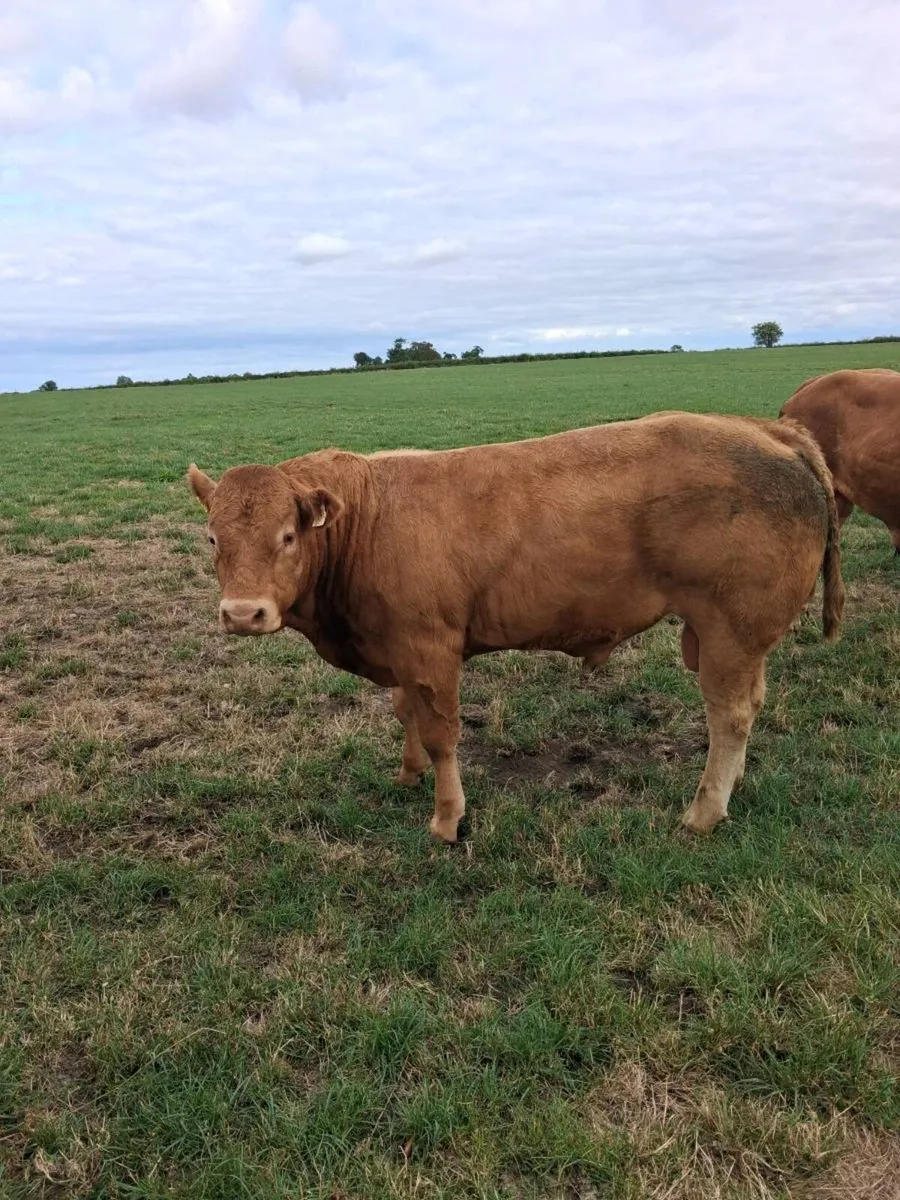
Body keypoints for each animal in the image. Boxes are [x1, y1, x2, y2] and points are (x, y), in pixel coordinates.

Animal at [187, 411, 843, 842]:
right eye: (213, 538)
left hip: (732, 630)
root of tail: (767, 430)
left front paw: (447, 818)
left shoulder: (430, 648)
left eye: (288, 536)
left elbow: (441, 734)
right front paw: (408, 773)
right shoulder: (398, 648)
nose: (243, 613)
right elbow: (405, 713)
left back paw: (703, 812)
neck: (367, 518)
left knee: (729, 716)